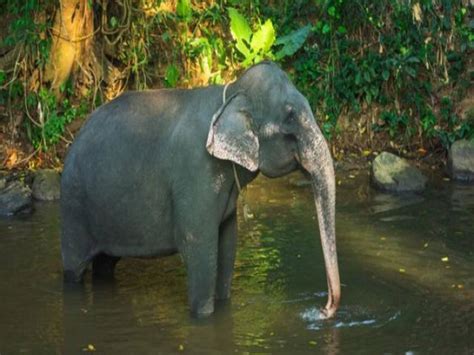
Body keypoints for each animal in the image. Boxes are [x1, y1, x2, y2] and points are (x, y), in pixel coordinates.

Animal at [60, 61, 340, 320]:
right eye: (290, 117)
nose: (322, 310)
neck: (231, 93)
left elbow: (227, 245)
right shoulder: (195, 174)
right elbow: (200, 247)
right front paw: (203, 317)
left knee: (105, 264)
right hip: (74, 207)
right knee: (74, 268)